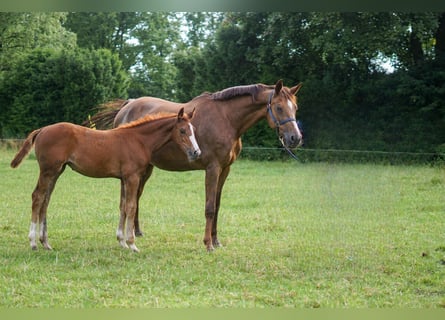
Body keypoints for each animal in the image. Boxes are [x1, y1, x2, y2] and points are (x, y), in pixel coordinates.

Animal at [10, 109, 199, 251]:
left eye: (193, 130)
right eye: (182, 130)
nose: (196, 152)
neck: (138, 140)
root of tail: (42, 130)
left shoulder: (123, 179)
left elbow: (123, 206)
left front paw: (121, 241)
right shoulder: (132, 177)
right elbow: (131, 207)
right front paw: (132, 244)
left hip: (56, 171)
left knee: (45, 200)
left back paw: (45, 242)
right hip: (48, 171)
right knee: (37, 197)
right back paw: (33, 242)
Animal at [87, 79, 302, 250]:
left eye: (295, 108)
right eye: (279, 107)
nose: (295, 138)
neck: (226, 119)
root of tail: (127, 105)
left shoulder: (225, 170)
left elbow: (217, 205)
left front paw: (216, 241)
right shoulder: (212, 168)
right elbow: (209, 207)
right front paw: (208, 244)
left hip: (146, 168)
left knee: (136, 197)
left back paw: (137, 232)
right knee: (128, 199)